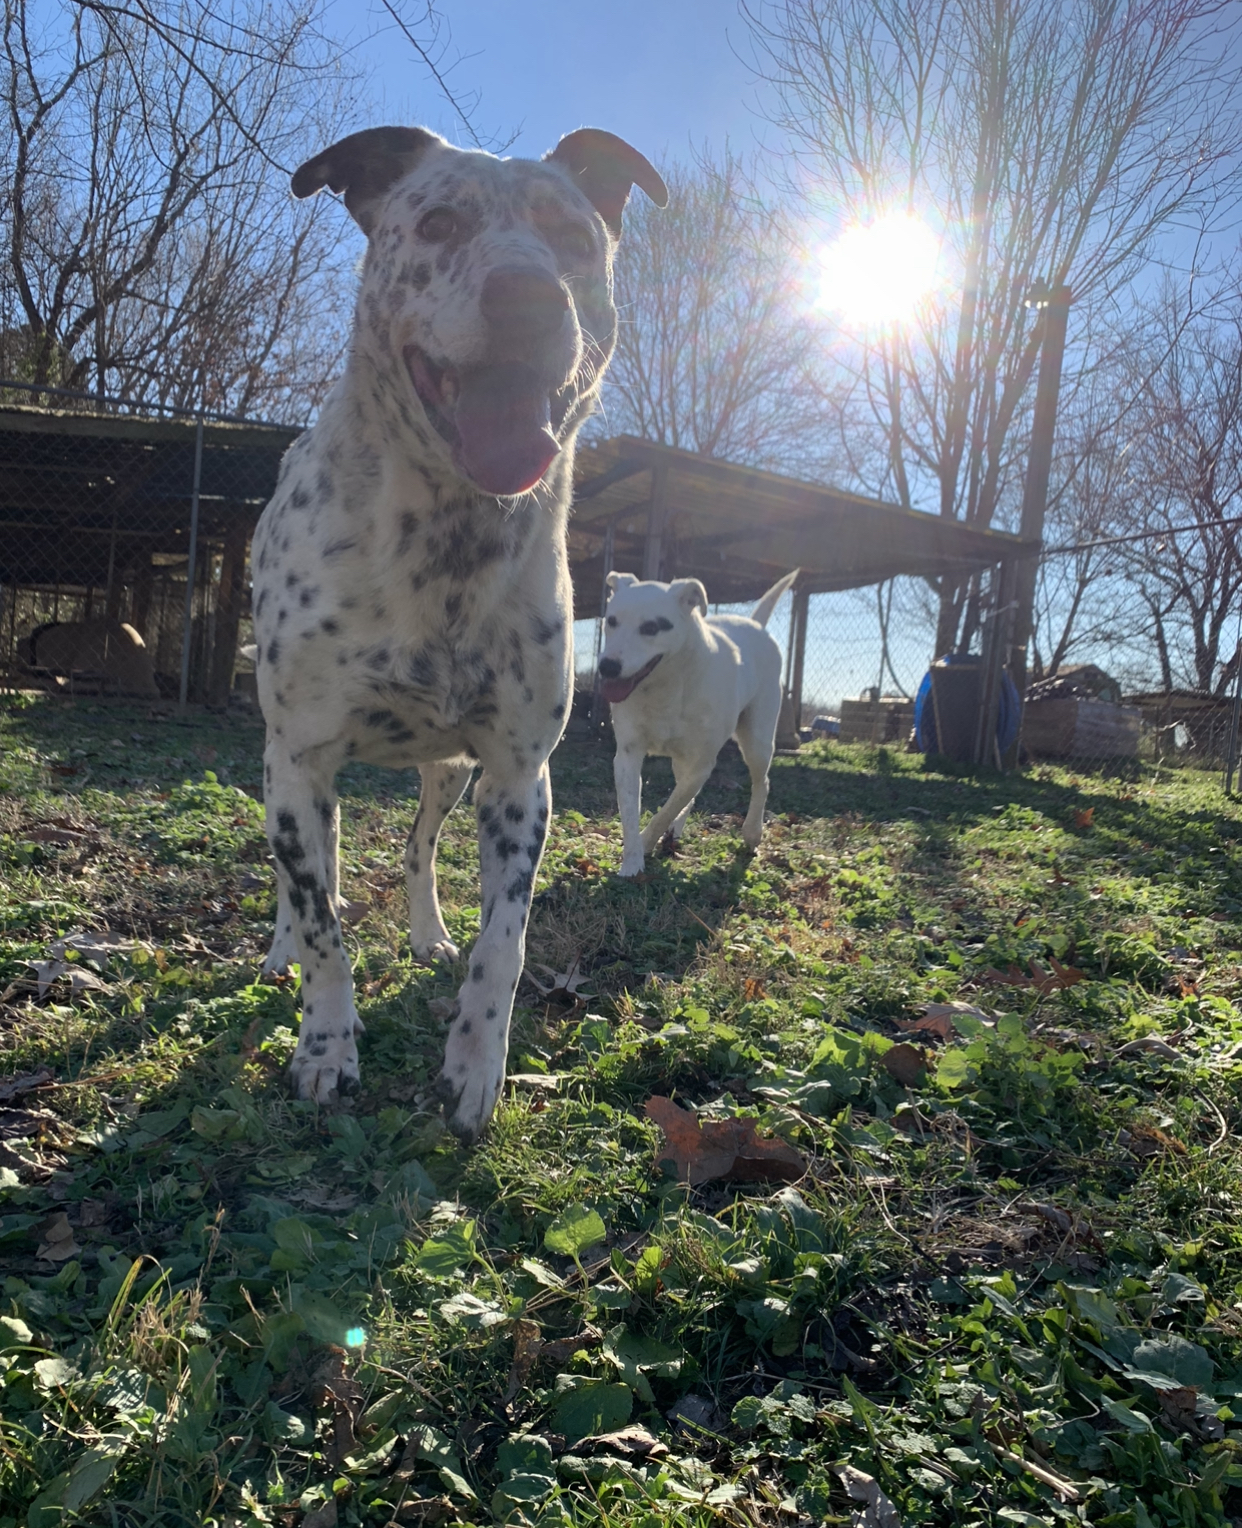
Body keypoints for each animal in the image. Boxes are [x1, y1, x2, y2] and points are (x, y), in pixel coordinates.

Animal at [250, 125, 669, 1142]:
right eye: (438, 223)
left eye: (571, 235)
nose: (528, 297)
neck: (449, 534)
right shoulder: (301, 760)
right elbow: (323, 924)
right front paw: (326, 1047)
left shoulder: (520, 778)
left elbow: (504, 943)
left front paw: (477, 1065)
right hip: (281, 764)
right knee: (304, 880)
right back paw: (282, 949)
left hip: (447, 772)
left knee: (416, 848)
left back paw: (428, 931)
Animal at [598, 571, 794, 880]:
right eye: (612, 620)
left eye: (651, 627)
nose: (607, 666)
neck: (665, 688)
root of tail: (756, 625)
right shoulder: (628, 755)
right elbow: (633, 810)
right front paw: (632, 860)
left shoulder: (703, 763)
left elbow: (670, 806)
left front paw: (645, 842)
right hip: (682, 759)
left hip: (757, 740)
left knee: (761, 782)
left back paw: (752, 832)